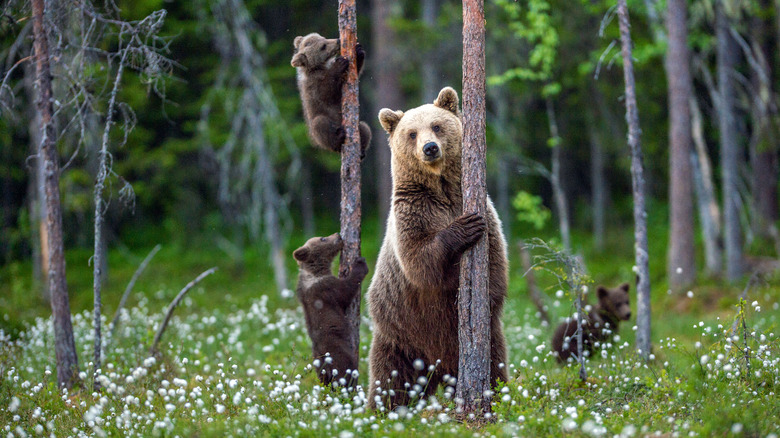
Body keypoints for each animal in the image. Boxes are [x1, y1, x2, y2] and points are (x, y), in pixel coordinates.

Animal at [292, 234, 368, 384]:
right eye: (322, 238)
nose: (338, 235)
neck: (316, 271)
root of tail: (324, 364)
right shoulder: (326, 288)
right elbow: (346, 291)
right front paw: (360, 264)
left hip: (318, 366)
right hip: (338, 352)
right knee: (345, 370)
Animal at [368, 87, 508, 408]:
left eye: (437, 125)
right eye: (411, 133)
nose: (430, 148)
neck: (441, 189)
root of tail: (439, 368)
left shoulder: (483, 210)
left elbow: (495, 264)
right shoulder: (413, 213)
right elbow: (420, 261)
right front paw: (463, 228)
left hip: (487, 340)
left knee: (495, 365)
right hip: (400, 334)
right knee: (390, 380)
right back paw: (379, 410)